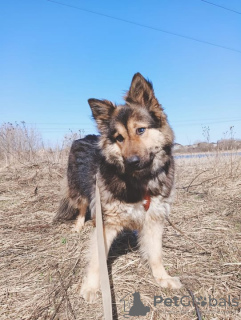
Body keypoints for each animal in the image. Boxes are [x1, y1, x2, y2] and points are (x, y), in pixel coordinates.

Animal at [54, 72, 183, 302]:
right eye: (119, 138)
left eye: (140, 130)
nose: (131, 161)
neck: (140, 181)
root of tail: (82, 137)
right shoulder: (107, 223)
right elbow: (97, 260)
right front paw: (91, 287)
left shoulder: (154, 218)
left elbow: (156, 254)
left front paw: (162, 278)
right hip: (80, 189)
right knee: (81, 208)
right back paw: (78, 226)